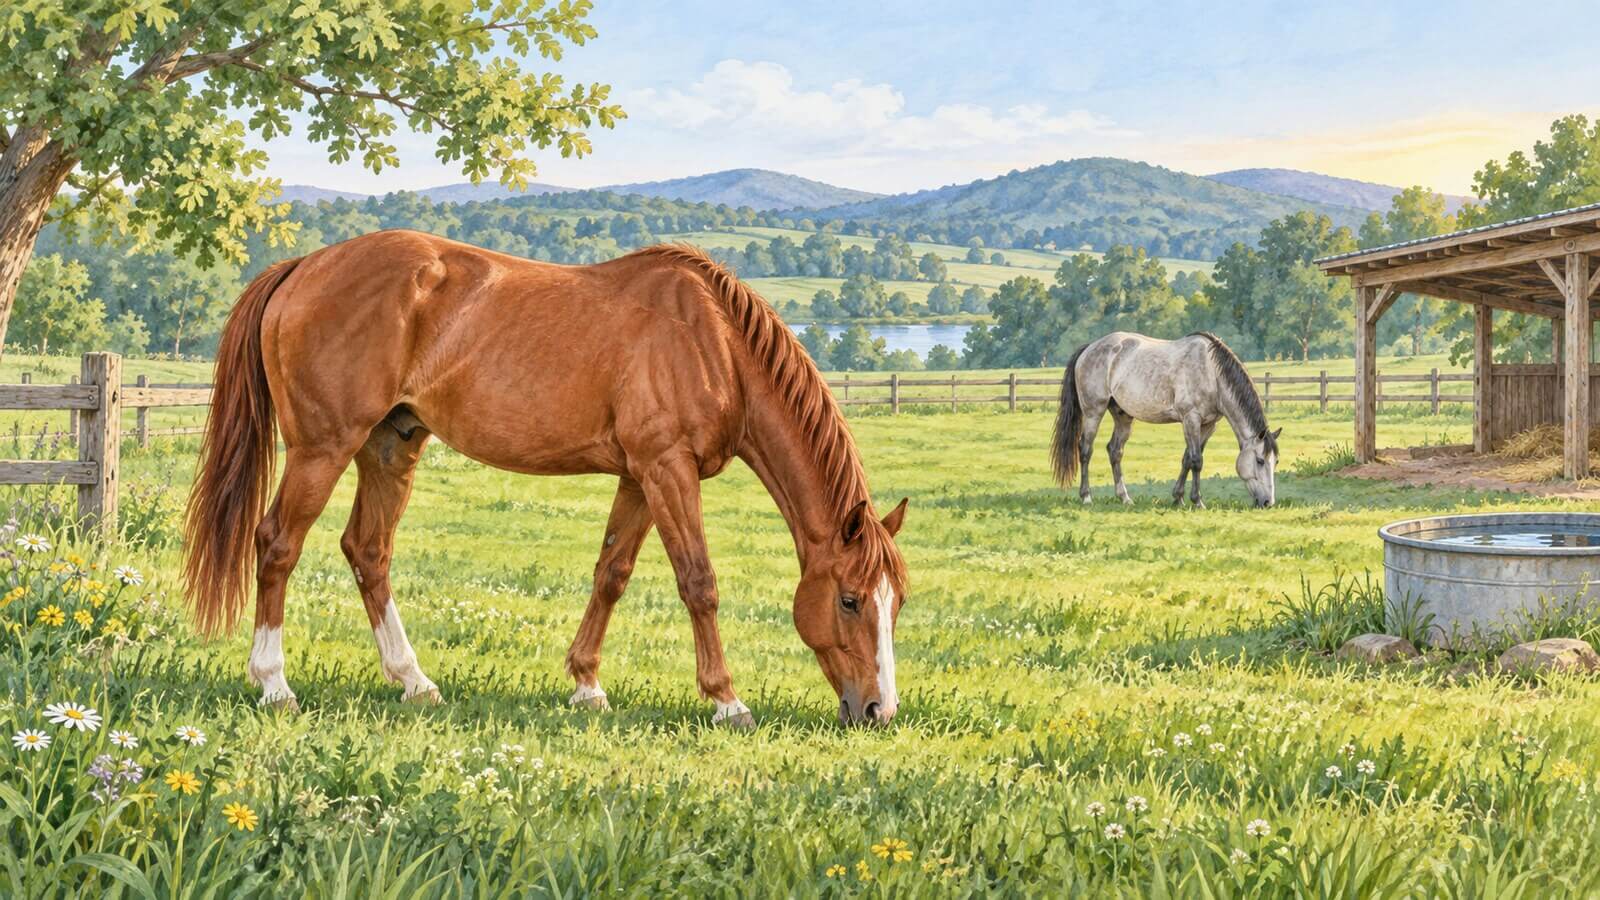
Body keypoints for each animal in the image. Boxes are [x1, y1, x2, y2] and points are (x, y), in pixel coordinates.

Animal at [182, 230, 910, 729]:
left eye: (894, 603)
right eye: (850, 599)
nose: (879, 711)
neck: (714, 343)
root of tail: (304, 266)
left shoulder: (639, 477)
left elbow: (611, 574)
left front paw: (586, 684)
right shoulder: (667, 468)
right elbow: (698, 583)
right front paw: (727, 700)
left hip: (391, 446)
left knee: (368, 552)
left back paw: (414, 680)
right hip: (323, 447)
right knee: (277, 544)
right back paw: (274, 683)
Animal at [1050, 332, 1280, 508]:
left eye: (1275, 461)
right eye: (1260, 460)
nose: (1268, 502)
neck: (1212, 373)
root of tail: (1089, 348)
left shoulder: (1208, 425)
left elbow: (1187, 459)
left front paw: (1178, 498)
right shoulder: (1191, 419)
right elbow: (1196, 460)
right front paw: (1197, 501)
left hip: (1123, 416)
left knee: (1115, 451)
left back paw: (1125, 498)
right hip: (1093, 412)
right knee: (1085, 450)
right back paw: (1086, 497)